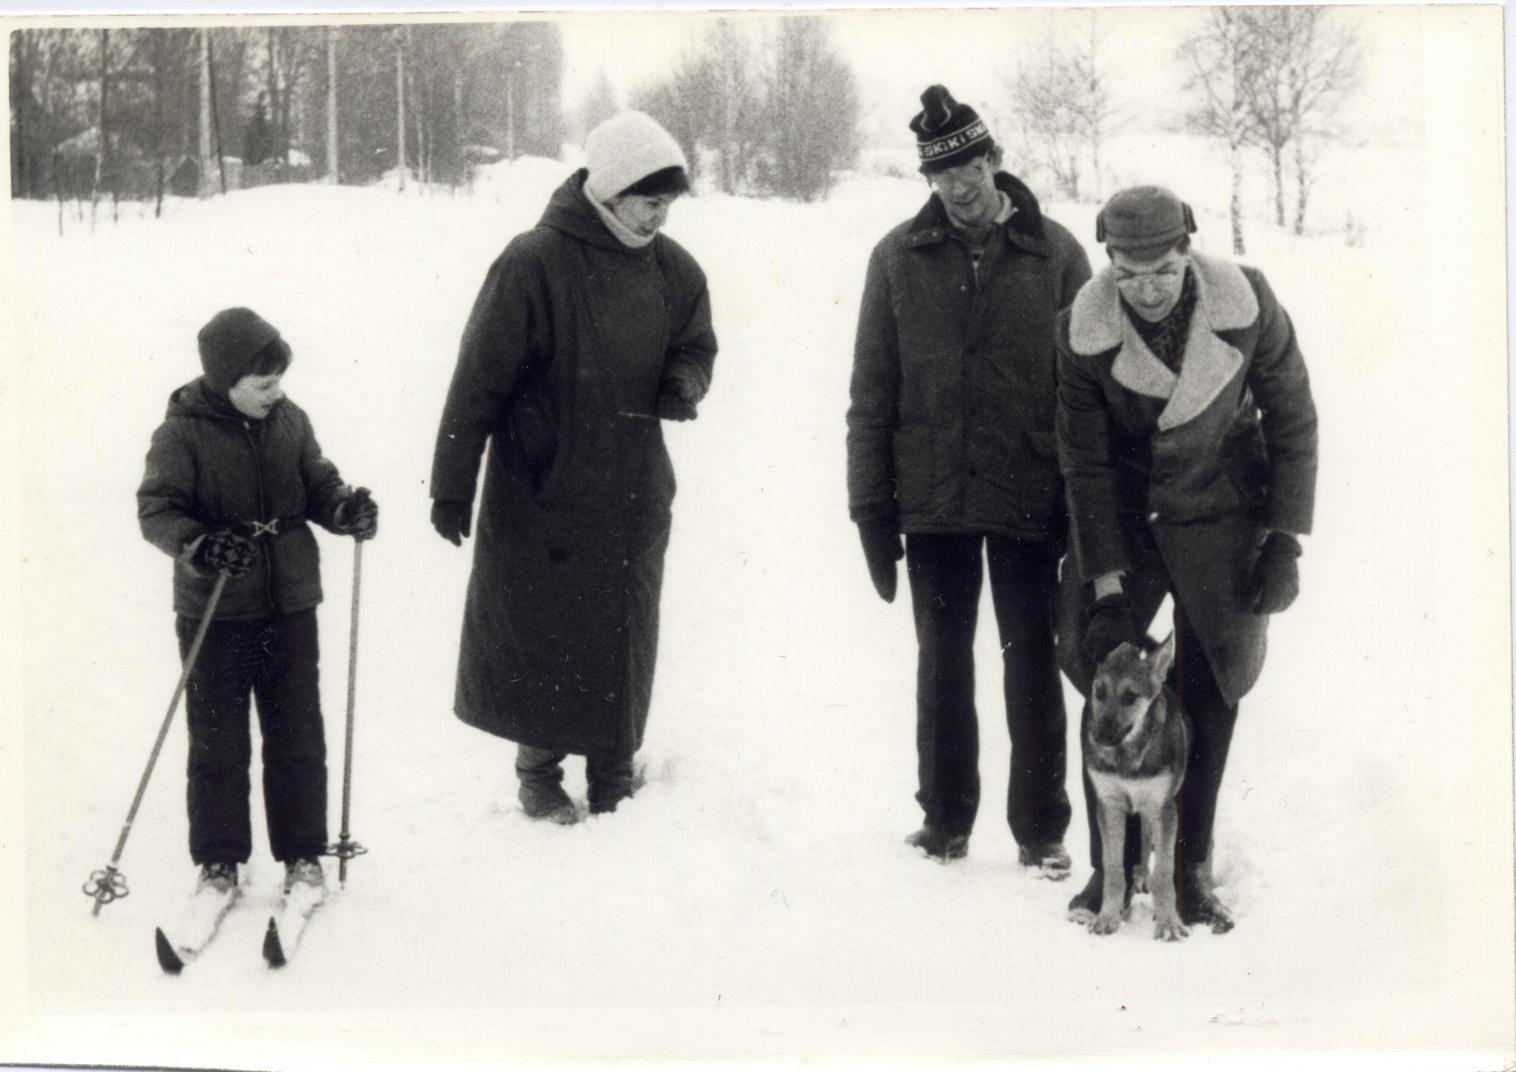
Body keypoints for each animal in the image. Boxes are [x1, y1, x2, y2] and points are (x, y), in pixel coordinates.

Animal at [1085, 633, 1188, 946]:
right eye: (1099, 691)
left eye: (1130, 697)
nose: (1099, 737)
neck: (1127, 756)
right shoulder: (1110, 805)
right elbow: (1113, 868)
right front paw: (1107, 917)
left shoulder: (1163, 808)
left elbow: (1165, 873)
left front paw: (1168, 924)